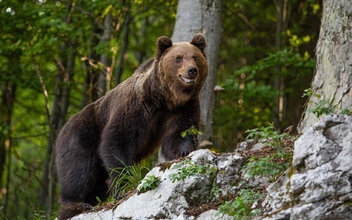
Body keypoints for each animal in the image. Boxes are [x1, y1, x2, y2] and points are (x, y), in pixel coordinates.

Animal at [55, 33, 208, 219]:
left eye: (195, 57)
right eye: (178, 58)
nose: (192, 70)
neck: (164, 98)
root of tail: (62, 129)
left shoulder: (182, 108)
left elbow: (180, 133)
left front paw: (183, 152)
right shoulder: (135, 106)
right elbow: (117, 140)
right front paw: (124, 184)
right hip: (81, 135)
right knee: (79, 169)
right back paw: (76, 203)